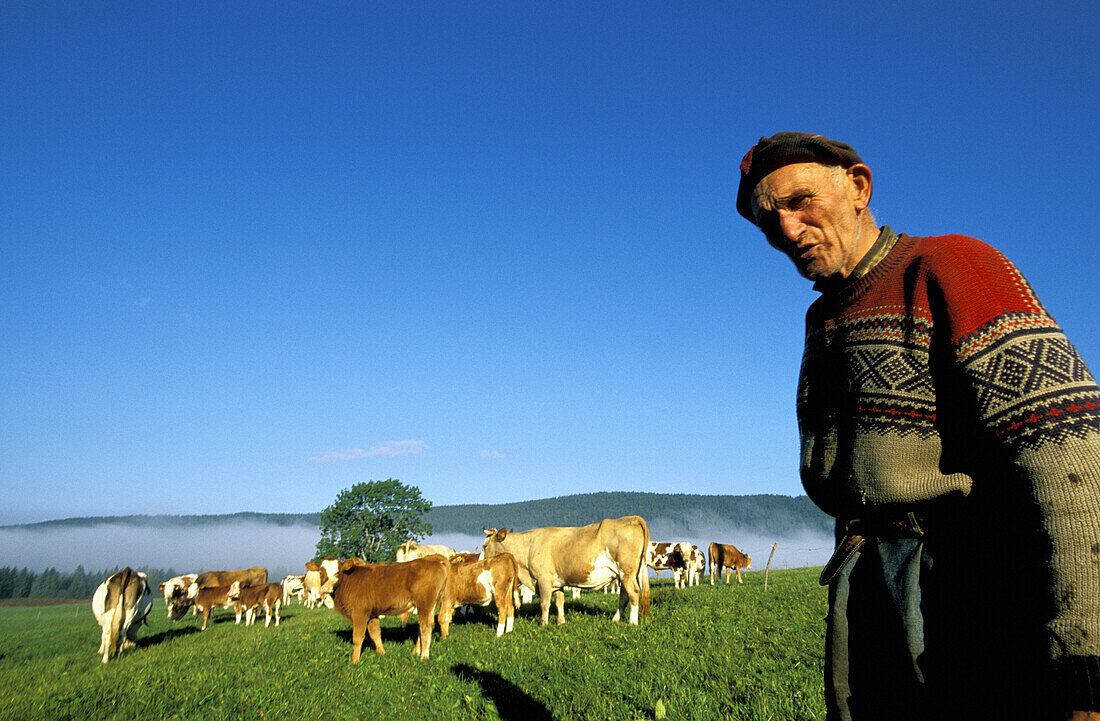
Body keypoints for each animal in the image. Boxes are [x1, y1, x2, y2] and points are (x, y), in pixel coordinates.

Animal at [481, 512, 651, 625]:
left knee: (634, 593)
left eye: (485, 545)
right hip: (624, 574)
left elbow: (545, 603)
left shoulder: (544, 579)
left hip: (626, 572)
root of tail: (632, 518)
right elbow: (559, 601)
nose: (481, 561)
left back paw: (632, 622)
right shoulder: (557, 582)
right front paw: (561, 622)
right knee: (624, 596)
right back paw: (616, 619)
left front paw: (544, 624)